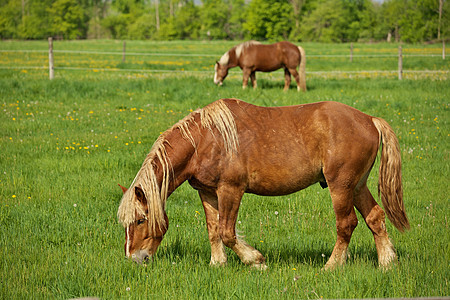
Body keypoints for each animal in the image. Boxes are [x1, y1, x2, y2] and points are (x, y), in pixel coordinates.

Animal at [118, 98, 410, 270]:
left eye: (141, 220)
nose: (134, 259)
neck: (204, 139)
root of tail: (369, 120)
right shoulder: (207, 192)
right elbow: (213, 230)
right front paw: (217, 264)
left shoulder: (231, 190)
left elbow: (227, 232)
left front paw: (256, 261)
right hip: (357, 185)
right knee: (375, 217)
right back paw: (387, 263)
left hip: (341, 185)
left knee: (346, 224)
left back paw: (331, 267)